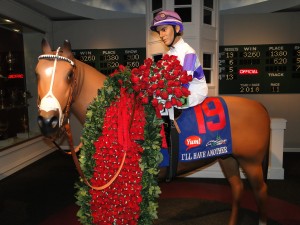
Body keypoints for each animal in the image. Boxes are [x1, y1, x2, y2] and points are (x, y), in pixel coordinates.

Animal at [34, 39, 270, 225]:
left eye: (69, 74)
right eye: (36, 73)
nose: (48, 121)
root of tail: (259, 107)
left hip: (251, 162)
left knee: (261, 192)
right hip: (227, 157)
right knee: (237, 188)